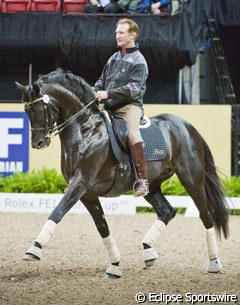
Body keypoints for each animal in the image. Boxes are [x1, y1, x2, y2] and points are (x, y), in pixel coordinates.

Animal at [15, 69, 229, 278]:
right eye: (26, 111)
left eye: (39, 108)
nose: (38, 143)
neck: (85, 129)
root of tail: (187, 126)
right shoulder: (87, 193)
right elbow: (102, 227)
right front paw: (115, 265)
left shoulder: (80, 184)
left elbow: (57, 212)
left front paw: (34, 249)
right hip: (152, 186)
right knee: (167, 211)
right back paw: (148, 251)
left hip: (191, 179)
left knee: (206, 215)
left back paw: (214, 263)